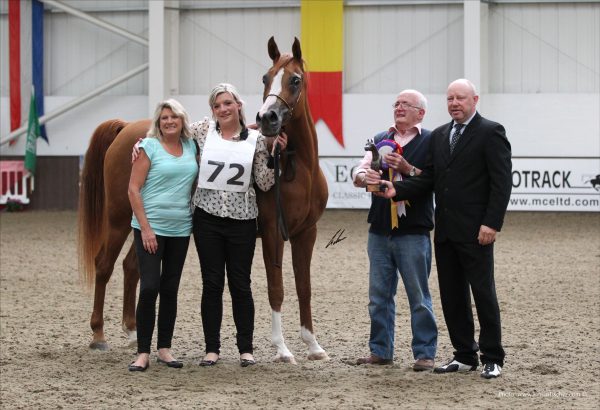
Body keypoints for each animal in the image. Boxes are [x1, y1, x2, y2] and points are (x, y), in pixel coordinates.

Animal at [79, 36, 328, 362]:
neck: (298, 170)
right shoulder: (274, 232)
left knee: (131, 267)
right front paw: (282, 349)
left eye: (295, 80)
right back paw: (98, 335)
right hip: (118, 218)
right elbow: (277, 288)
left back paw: (133, 333)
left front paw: (313, 345)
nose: (267, 118)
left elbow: (304, 288)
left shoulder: (306, 233)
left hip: (143, 227)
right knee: (104, 264)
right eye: (266, 78)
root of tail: (126, 130)